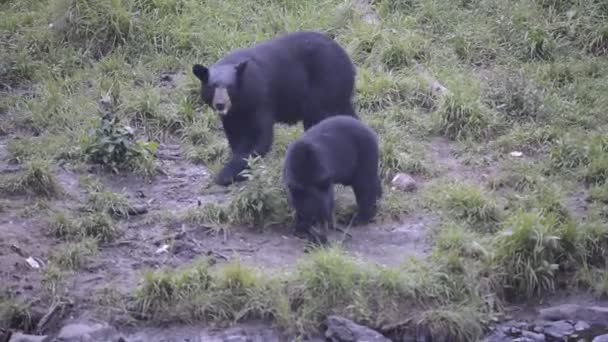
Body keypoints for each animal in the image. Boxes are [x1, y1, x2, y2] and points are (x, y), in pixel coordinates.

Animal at [192, 31, 358, 187]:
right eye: (212, 87)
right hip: (338, 94)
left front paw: (225, 175)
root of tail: (348, 62)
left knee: (318, 118)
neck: (240, 103)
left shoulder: (260, 99)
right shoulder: (232, 115)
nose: (220, 104)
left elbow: (259, 138)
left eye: (230, 87)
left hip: (325, 86)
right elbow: (236, 136)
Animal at [282, 116, 382, 244]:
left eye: (323, 216)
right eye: (314, 218)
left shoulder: (322, 174)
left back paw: (359, 218)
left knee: (365, 186)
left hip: (364, 155)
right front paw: (299, 226)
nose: (323, 237)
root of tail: (370, 130)